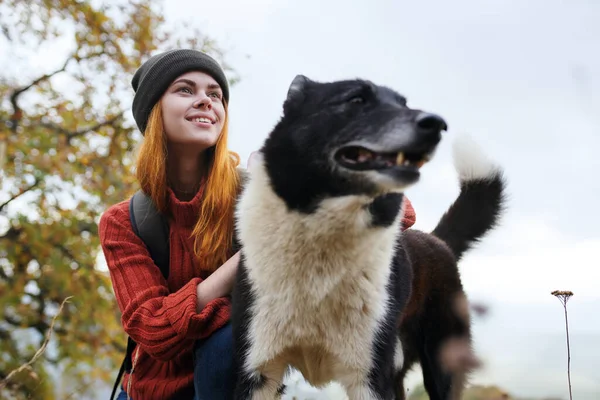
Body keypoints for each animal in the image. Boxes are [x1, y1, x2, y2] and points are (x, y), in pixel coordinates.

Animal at [232, 75, 504, 400]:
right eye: (356, 100)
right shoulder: (258, 371)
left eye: (404, 104)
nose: (437, 124)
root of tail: (436, 241)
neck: (322, 239)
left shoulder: (369, 378)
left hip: (441, 365)